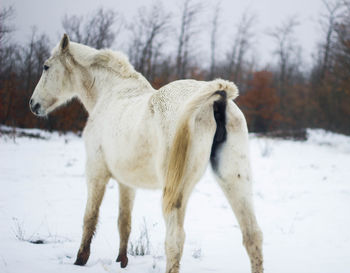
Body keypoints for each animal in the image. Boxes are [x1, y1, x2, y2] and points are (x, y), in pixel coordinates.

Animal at [30, 34, 264, 272]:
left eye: (46, 66)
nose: (33, 104)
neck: (111, 94)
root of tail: (216, 97)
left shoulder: (96, 172)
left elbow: (90, 217)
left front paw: (80, 260)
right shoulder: (127, 182)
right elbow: (124, 222)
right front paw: (122, 261)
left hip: (177, 190)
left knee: (175, 240)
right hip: (234, 180)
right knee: (252, 235)